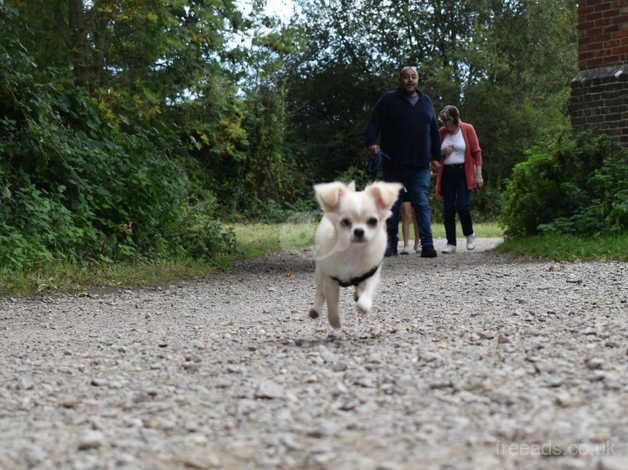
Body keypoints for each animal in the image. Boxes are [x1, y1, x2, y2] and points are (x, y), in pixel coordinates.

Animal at [310, 180, 402, 326]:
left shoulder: (371, 273)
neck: (353, 251)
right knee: (320, 292)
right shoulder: (331, 279)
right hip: (319, 272)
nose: (359, 231)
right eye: (345, 222)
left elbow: (367, 291)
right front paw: (335, 322)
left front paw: (363, 305)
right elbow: (332, 303)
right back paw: (315, 310)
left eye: (373, 221)